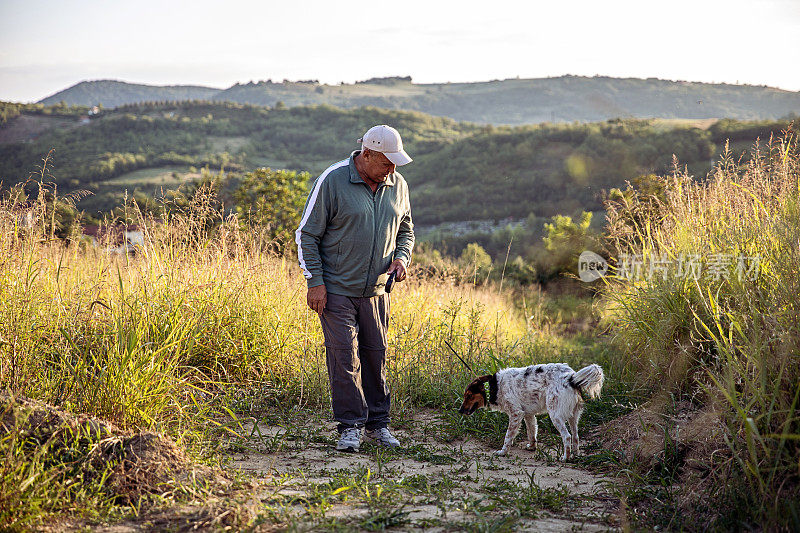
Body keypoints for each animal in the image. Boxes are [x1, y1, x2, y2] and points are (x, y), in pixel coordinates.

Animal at [460, 364, 604, 460]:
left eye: (468, 396)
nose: (460, 410)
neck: (494, 387)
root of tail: (571, 378)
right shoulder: (528, 414)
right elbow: (532, 432)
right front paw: (532, 447)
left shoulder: (516, 413)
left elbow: (508, 437)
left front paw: (503, 452)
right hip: (573, 416)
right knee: (575, 436)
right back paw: (575, 454)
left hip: (555, 415)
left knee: (567, 436)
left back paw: (565, 458)